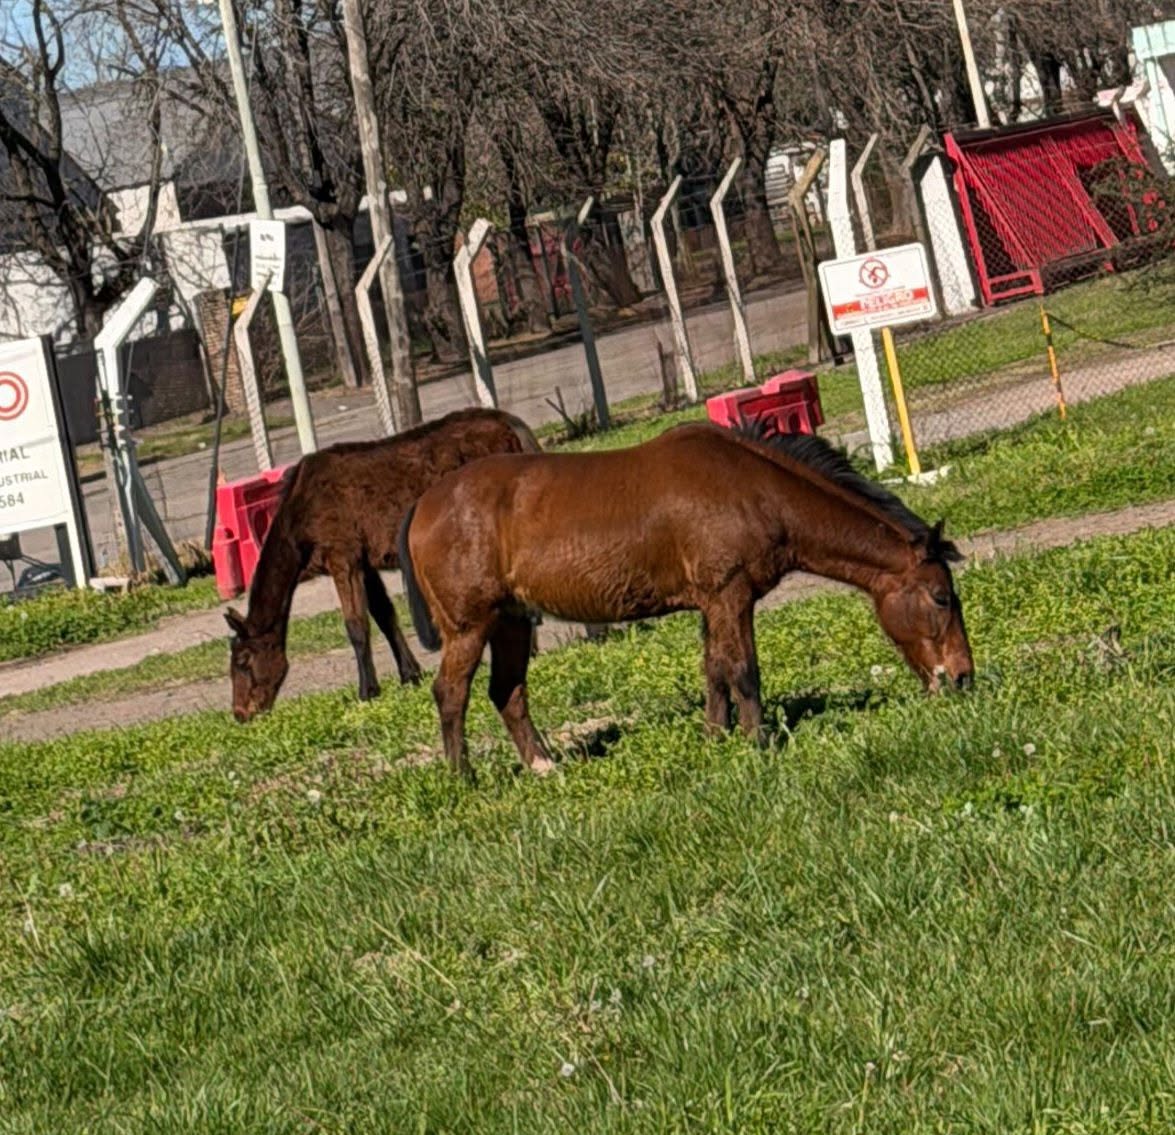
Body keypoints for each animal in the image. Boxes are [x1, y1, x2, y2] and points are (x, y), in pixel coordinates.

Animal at [224, 406, 545, 722]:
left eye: (243, 661)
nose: (241, 713)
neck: (298, 523)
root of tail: (511, 423)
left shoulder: (343, 555)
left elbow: (356, 625)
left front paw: (367, 690)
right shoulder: (365, 564)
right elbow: (384, 615)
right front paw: (409, 673)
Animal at [397, 419, 974, 780]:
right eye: (942, 598)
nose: (963, 677)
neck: (756, 490)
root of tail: (422, 505)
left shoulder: (711, 604)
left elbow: (714, 670)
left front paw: (715, 738)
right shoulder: (729, 595)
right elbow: (743, 671)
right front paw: (758, 743)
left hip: (513, 622)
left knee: (507, 692)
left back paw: (543, 765)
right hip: (470, 627)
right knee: (451, 693)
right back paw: (463, 776)